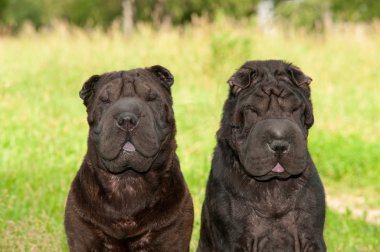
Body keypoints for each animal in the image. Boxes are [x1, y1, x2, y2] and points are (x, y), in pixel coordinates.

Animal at [64, 65, 193, 252]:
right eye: (105, 100)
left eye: (151, 98)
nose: (126, 119)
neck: (128, 182)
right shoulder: (83, 238)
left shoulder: (172, 238)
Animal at [197, 60, 326, 251]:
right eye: (252, 110)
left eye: (295, 109)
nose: (279, 143)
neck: (272, 186)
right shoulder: (235, 240)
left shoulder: (310, 237)